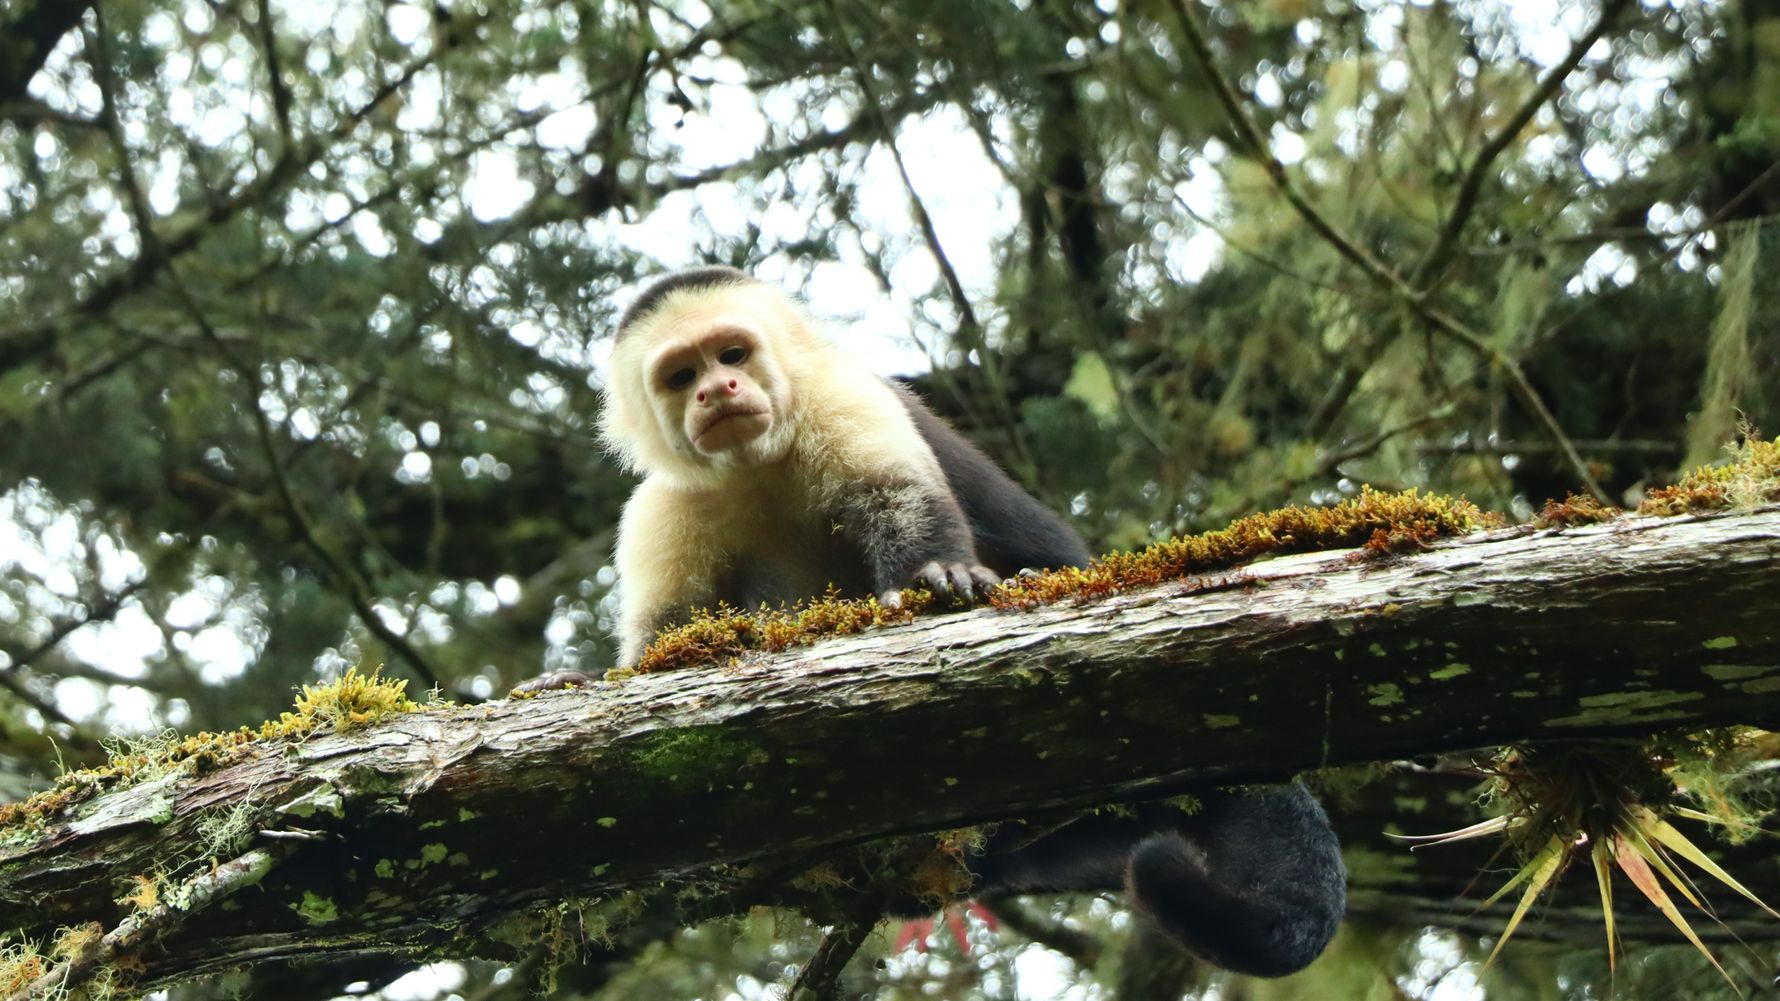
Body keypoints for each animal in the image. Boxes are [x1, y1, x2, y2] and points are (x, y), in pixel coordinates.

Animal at [521, 265, 1345, 977]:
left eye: (732, 354)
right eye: (680, 376)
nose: (718, 389)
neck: (758, 465)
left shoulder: (846, 402)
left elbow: (901, 499)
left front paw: (940, 576)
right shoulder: (668, 504)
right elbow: (669, 641)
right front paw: (585, 680)